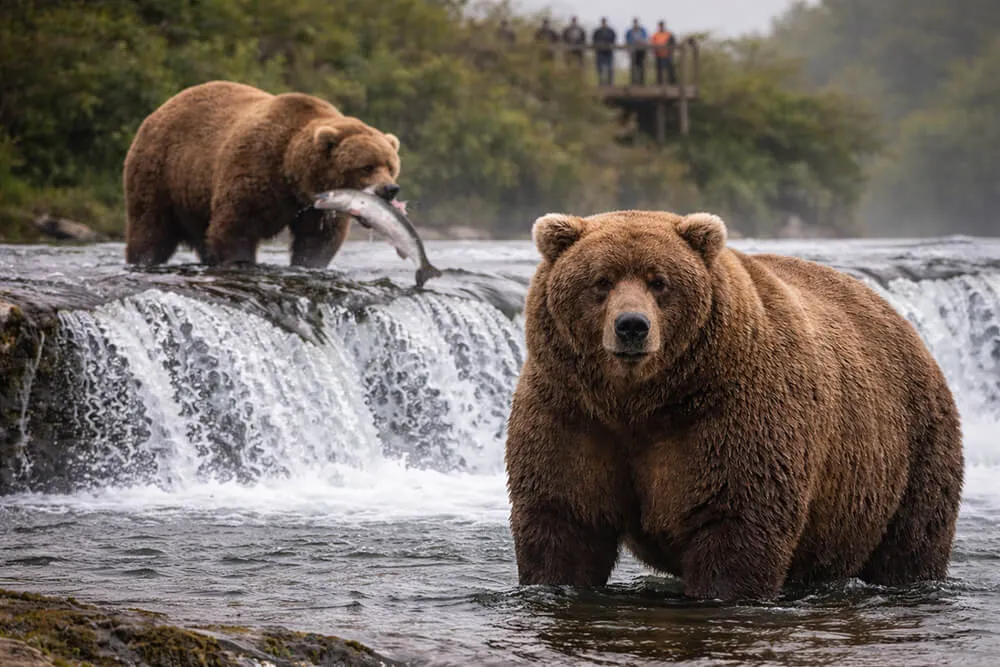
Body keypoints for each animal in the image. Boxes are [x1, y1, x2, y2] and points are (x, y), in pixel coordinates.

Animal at [123, 80, 402, 268]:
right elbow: (235, 225)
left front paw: (307, 263)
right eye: (367, 167)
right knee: (150, 228)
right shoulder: (256, 166)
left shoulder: (318, 208)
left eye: (391, 167)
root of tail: (159, 109)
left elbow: (318, 239)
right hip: (162, 172)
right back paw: (143, 259)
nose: (389, 189)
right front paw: (241, 261)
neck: (293, 175)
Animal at [505, 209, 964, 601]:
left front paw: (721, 591)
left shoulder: (729, 415)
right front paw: (555, 579)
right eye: (601, 281)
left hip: (913, 451)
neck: (638, 402)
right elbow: (564, 518)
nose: (632, 326)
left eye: (659, 281)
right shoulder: (571, 413)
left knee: (911, 542)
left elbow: (736, 518)